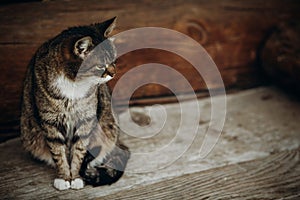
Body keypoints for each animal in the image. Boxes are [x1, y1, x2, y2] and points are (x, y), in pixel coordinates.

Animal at [19, 17, 130, 191]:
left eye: (114, 61)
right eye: (100, 66)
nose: (114, 74)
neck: (74, 84)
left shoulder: (86, 120)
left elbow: (79, 151)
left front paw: (76, 177)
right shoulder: (50, 122)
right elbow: (58, 153)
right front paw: (64, 177)